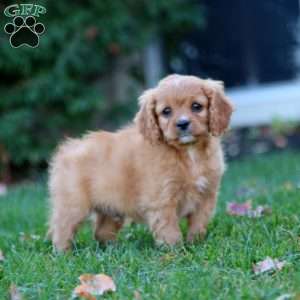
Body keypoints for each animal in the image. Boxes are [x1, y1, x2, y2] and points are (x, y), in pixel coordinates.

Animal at [48, 74, 233, 250]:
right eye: (166, 111)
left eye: (196, 106)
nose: (182, 123)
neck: (189, 153)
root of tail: (70, 147)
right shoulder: (162, 201)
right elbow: (170, 230)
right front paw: (176, 252)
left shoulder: (206, 197)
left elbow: (198, 224)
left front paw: (196, 243)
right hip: (73, 206)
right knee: (62, 230)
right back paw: (64, 253)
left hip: (111, 210)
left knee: (101, 232)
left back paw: (113, 249)